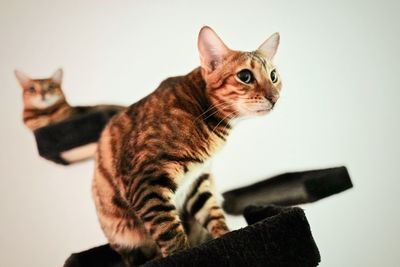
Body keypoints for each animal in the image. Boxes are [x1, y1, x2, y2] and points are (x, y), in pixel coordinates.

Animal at [92, 25, 282, 267]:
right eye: (245, 76)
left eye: (274, 76)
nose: (275, 97)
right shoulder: (146, 181)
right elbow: (171, 234)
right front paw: (184, 254)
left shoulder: (197, 182)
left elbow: (214, 215)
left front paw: (227, 236)